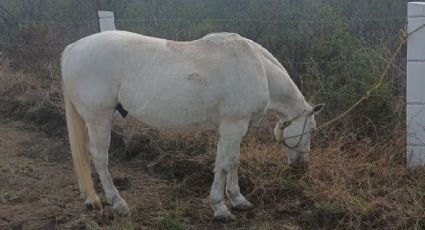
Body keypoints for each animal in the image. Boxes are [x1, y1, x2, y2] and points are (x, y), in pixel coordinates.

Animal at [61, 31, 322, 222]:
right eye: (311, 130)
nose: (302, 167)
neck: (257, 68)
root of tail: (73, 47)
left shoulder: (236, 131)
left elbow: (234, 162)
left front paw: (238, 199)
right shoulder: (232, 127)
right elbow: (224, 166)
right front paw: (220, 208)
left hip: (90, 121)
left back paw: (91, 198)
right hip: (99, 119)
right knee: (100, 159)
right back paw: (118, 203)